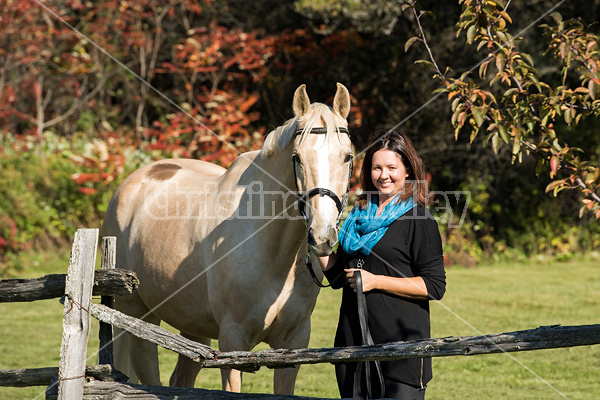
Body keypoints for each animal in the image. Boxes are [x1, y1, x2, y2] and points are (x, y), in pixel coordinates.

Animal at [102, 83, 354, 392]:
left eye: (347, 157)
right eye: (297, 158)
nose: (322, 236)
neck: (272, 249)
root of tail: (130, 184)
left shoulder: (293, 344)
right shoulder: (233, 343)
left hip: (193, 326)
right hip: (139, 315)